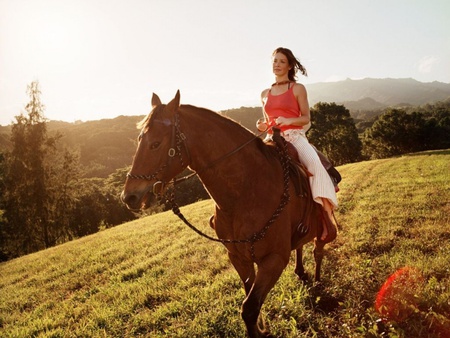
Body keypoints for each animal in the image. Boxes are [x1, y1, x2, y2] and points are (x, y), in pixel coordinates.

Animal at [121, 91, 336, 336]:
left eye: (156, 144)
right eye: (140, 140)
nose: (129, 197)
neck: (244, 193)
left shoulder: (274, 260)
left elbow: (249, 308)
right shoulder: (238, 258)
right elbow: (250, 300)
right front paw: (262, 328)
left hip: (323, 228)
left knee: (318, 250)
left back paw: (317, 282)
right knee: (300, 244)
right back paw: (301, 272)